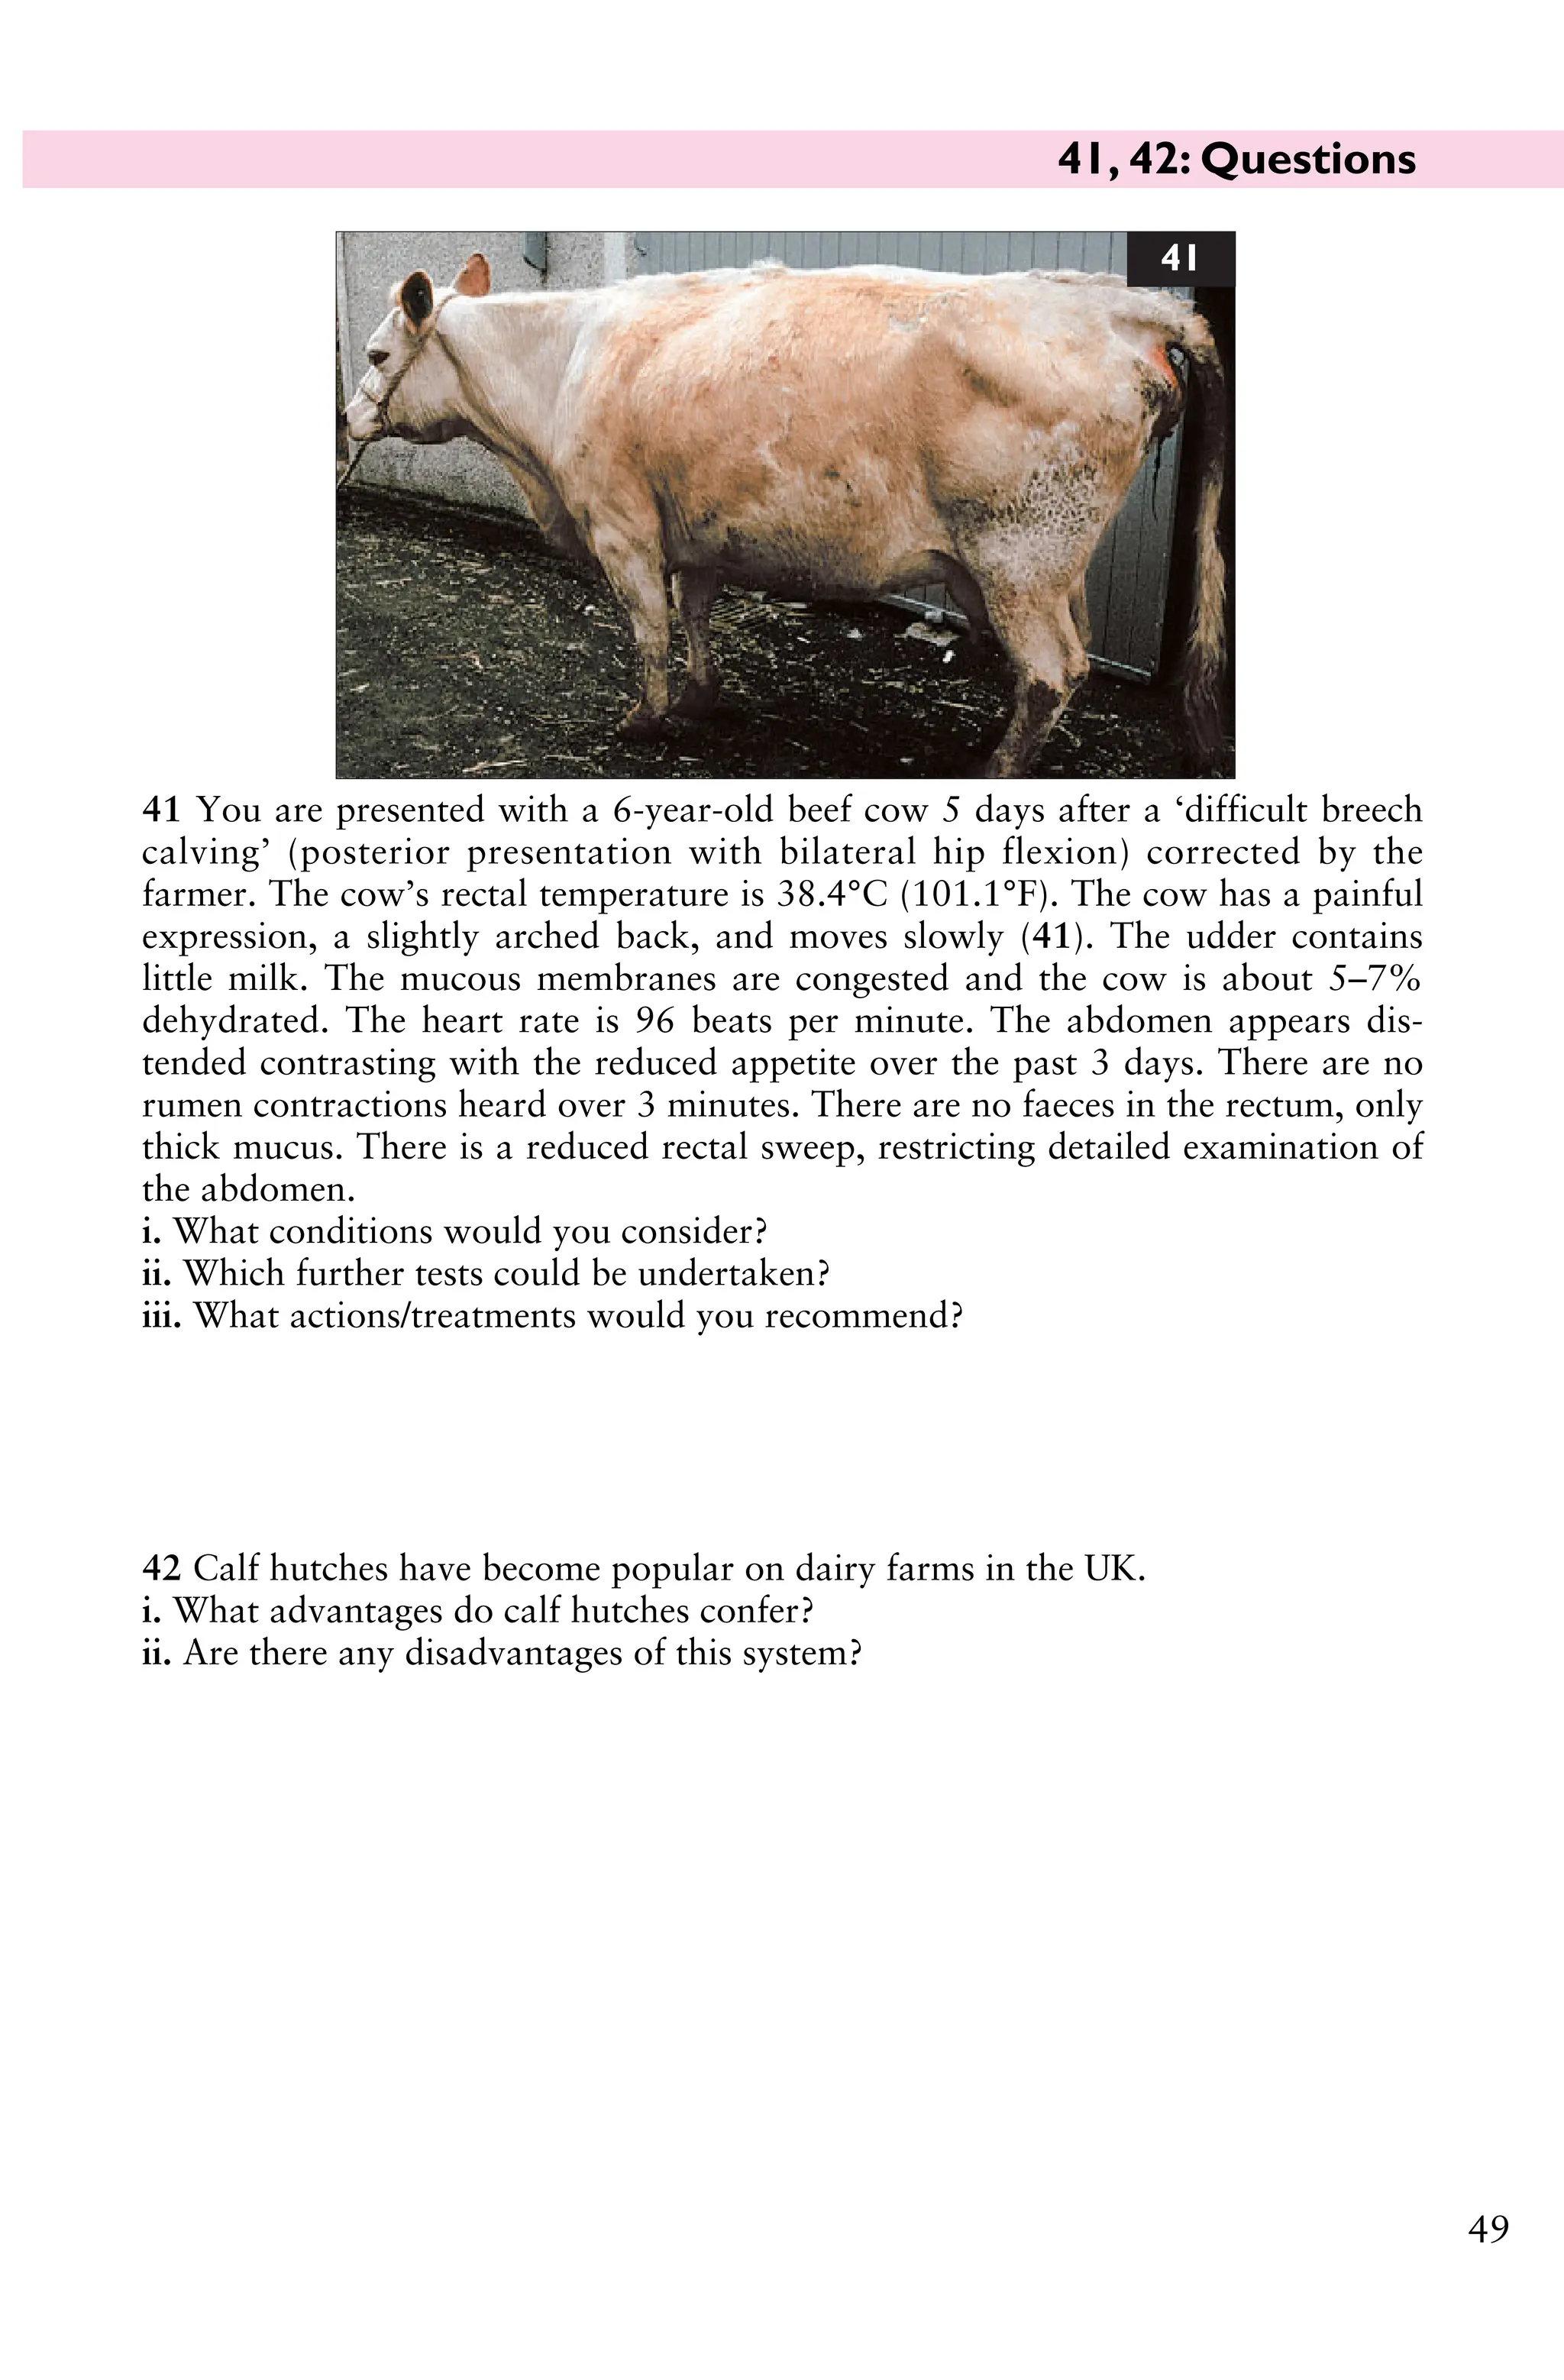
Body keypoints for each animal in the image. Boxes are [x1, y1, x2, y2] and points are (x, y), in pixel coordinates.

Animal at [344, 252, 1226, 776]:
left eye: (378, 355)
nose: (347, 419)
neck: (561, 366)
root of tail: (1124, 306)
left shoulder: (622, 525)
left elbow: (649, 626)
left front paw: (645, 718)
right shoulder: (694, 524)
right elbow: (696, 609)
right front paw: (701, 696)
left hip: (1017, 558)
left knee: (1054, 668)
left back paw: (995, 768)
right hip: (1051, 564)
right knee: (1063, 663)